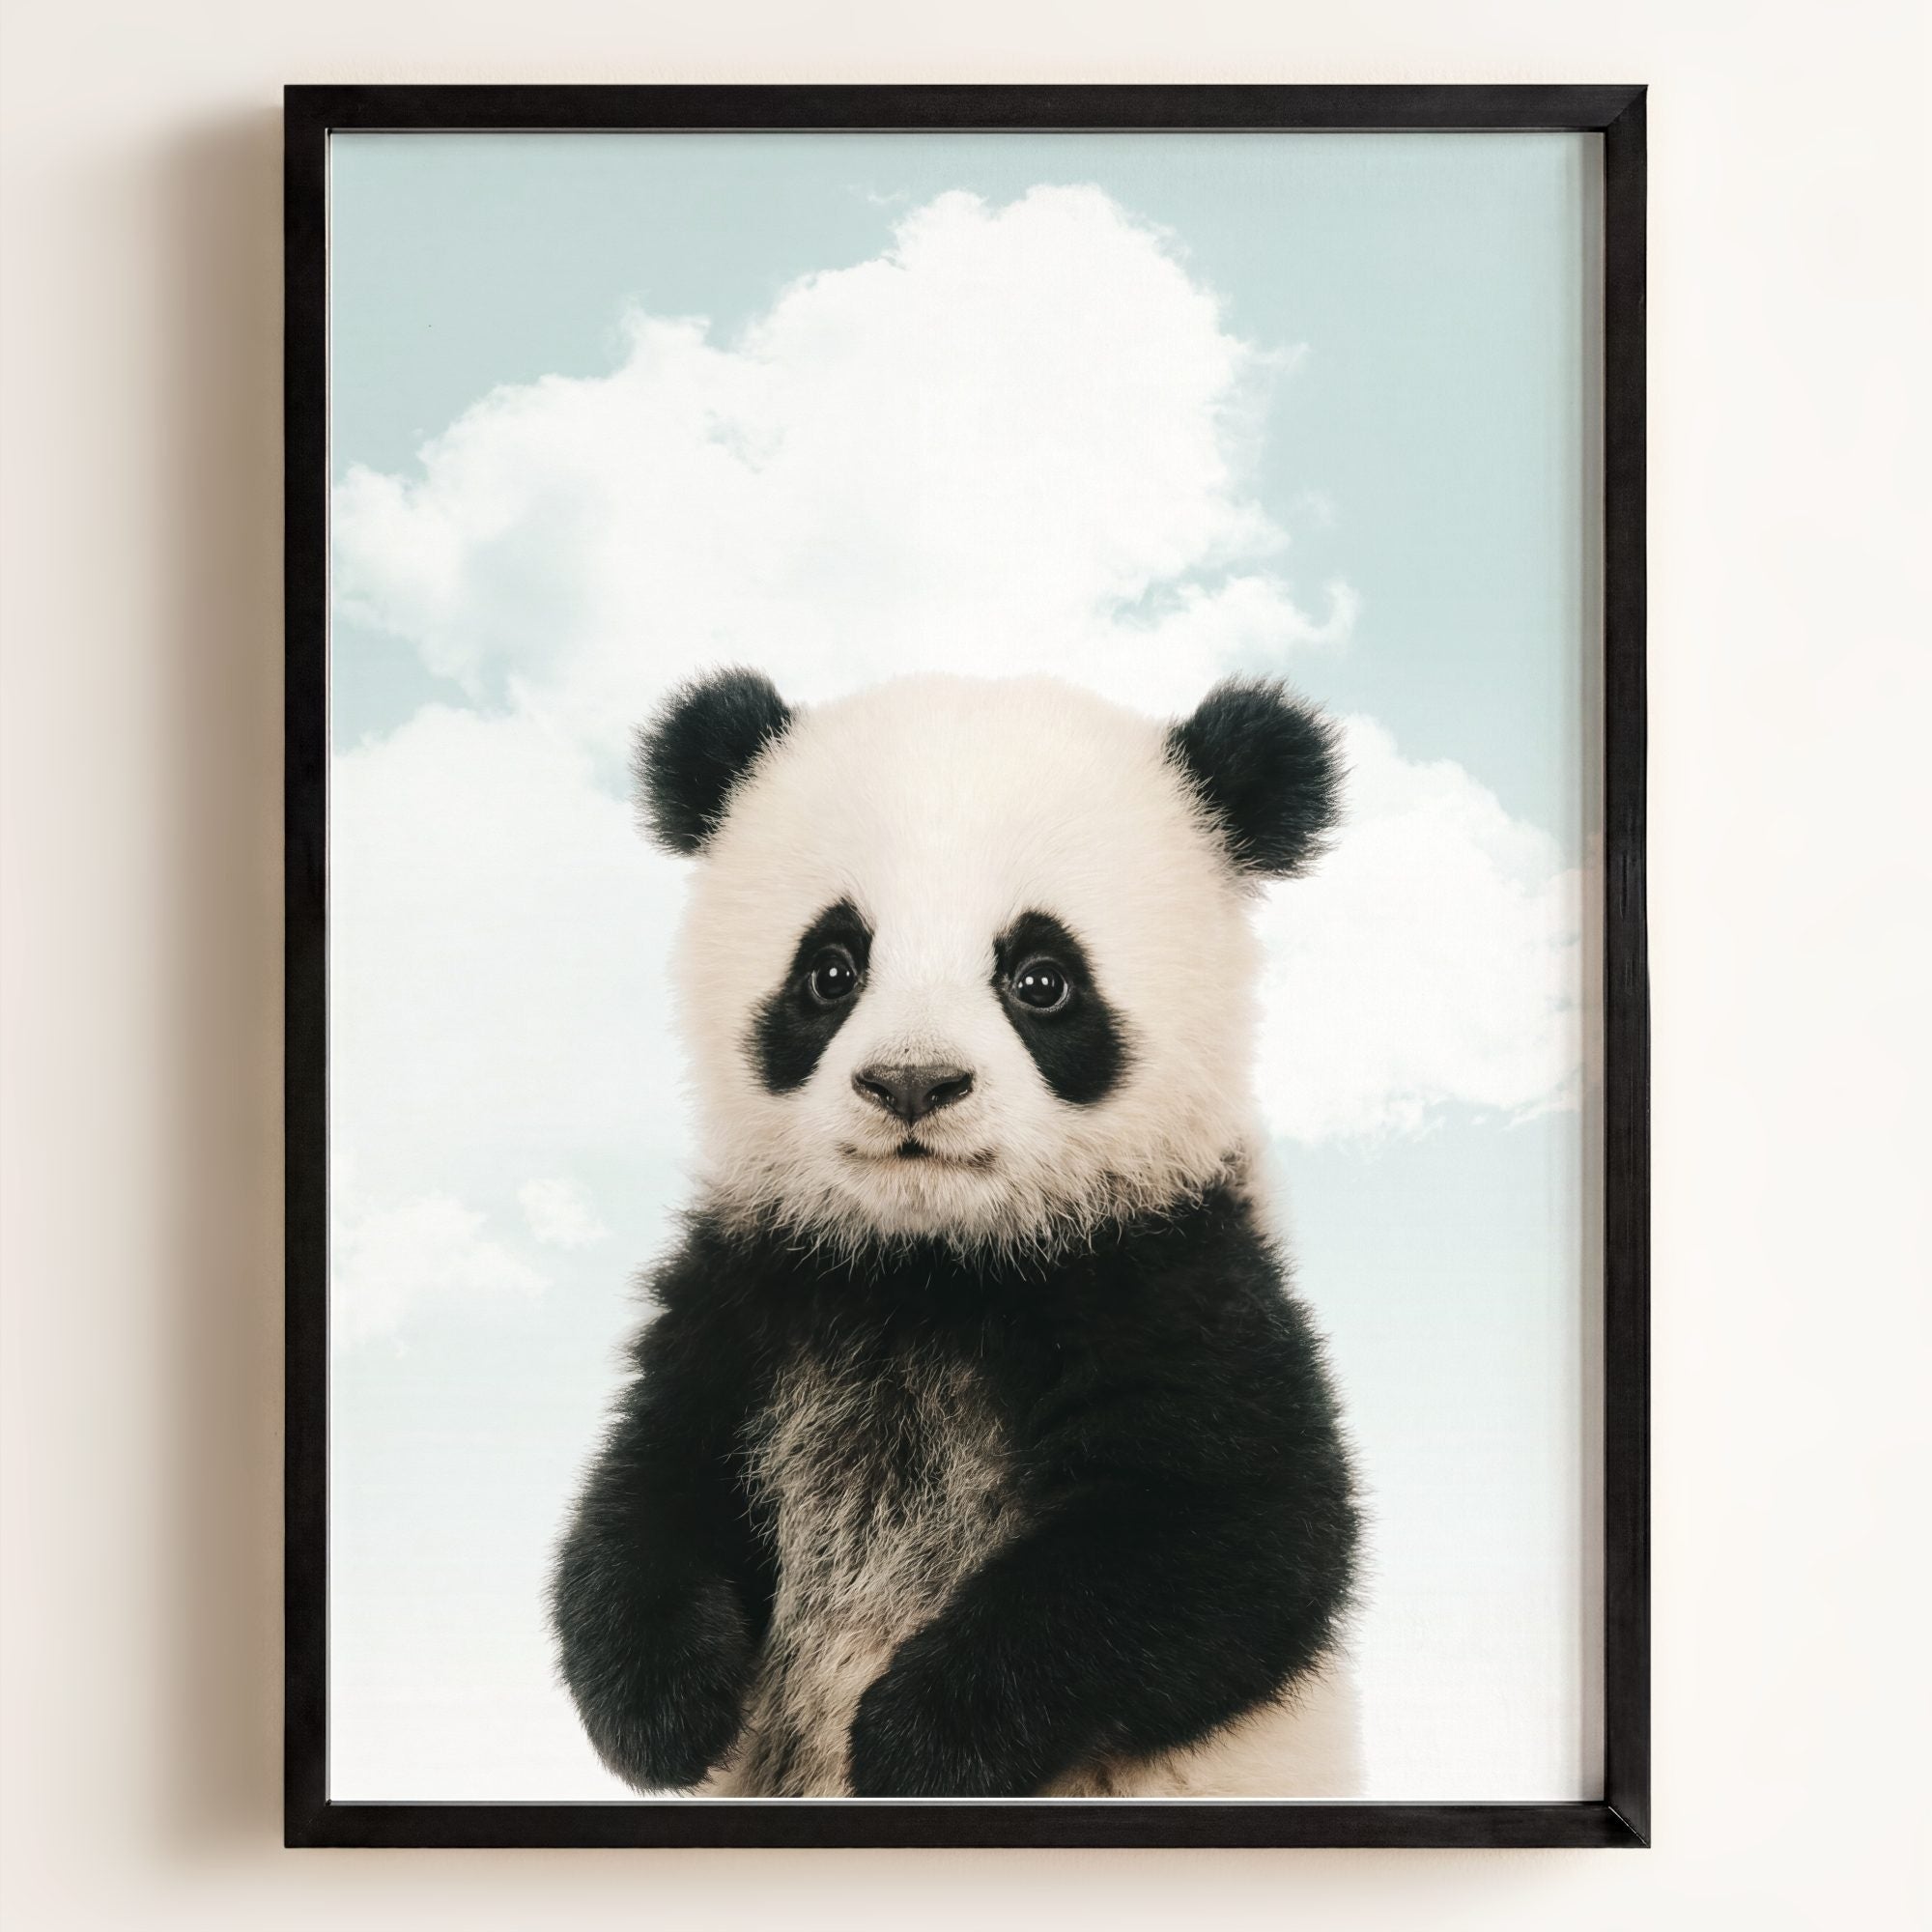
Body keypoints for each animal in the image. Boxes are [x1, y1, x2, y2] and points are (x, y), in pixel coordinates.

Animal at [552, 668, 1362, 1799]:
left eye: (1040, 977)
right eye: (831, 969)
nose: (911, 1082)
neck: (932, 1263)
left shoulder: (1174, 1277)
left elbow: (1231, 1539)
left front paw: (917, 1738)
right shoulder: (753, 1289)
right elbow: (650, 1487)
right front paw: (665, 1709)